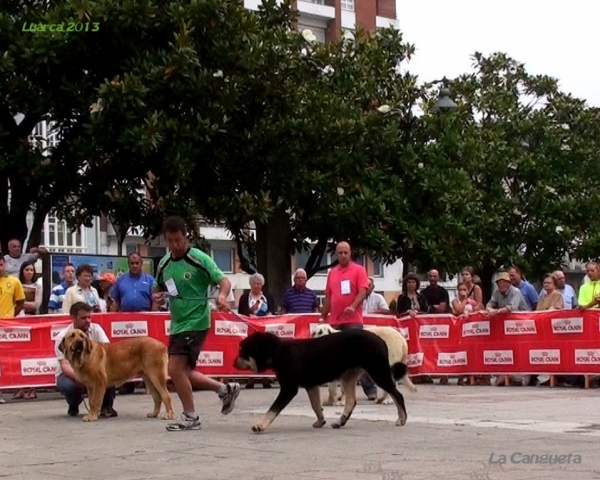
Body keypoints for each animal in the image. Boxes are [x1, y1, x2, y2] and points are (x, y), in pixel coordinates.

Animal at [234, 328, 408, 434]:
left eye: (243, 351)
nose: (233, 363)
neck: (278, 352)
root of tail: (381, 341)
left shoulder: (289, 388)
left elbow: (273, 409)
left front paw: (260, 425)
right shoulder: (311, 386)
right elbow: (316, 405)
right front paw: (321, 421)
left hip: (378, 371)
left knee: (397, 394)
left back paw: (402, 418)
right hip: (348, 376)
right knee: (351, 401)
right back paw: (340, 421)